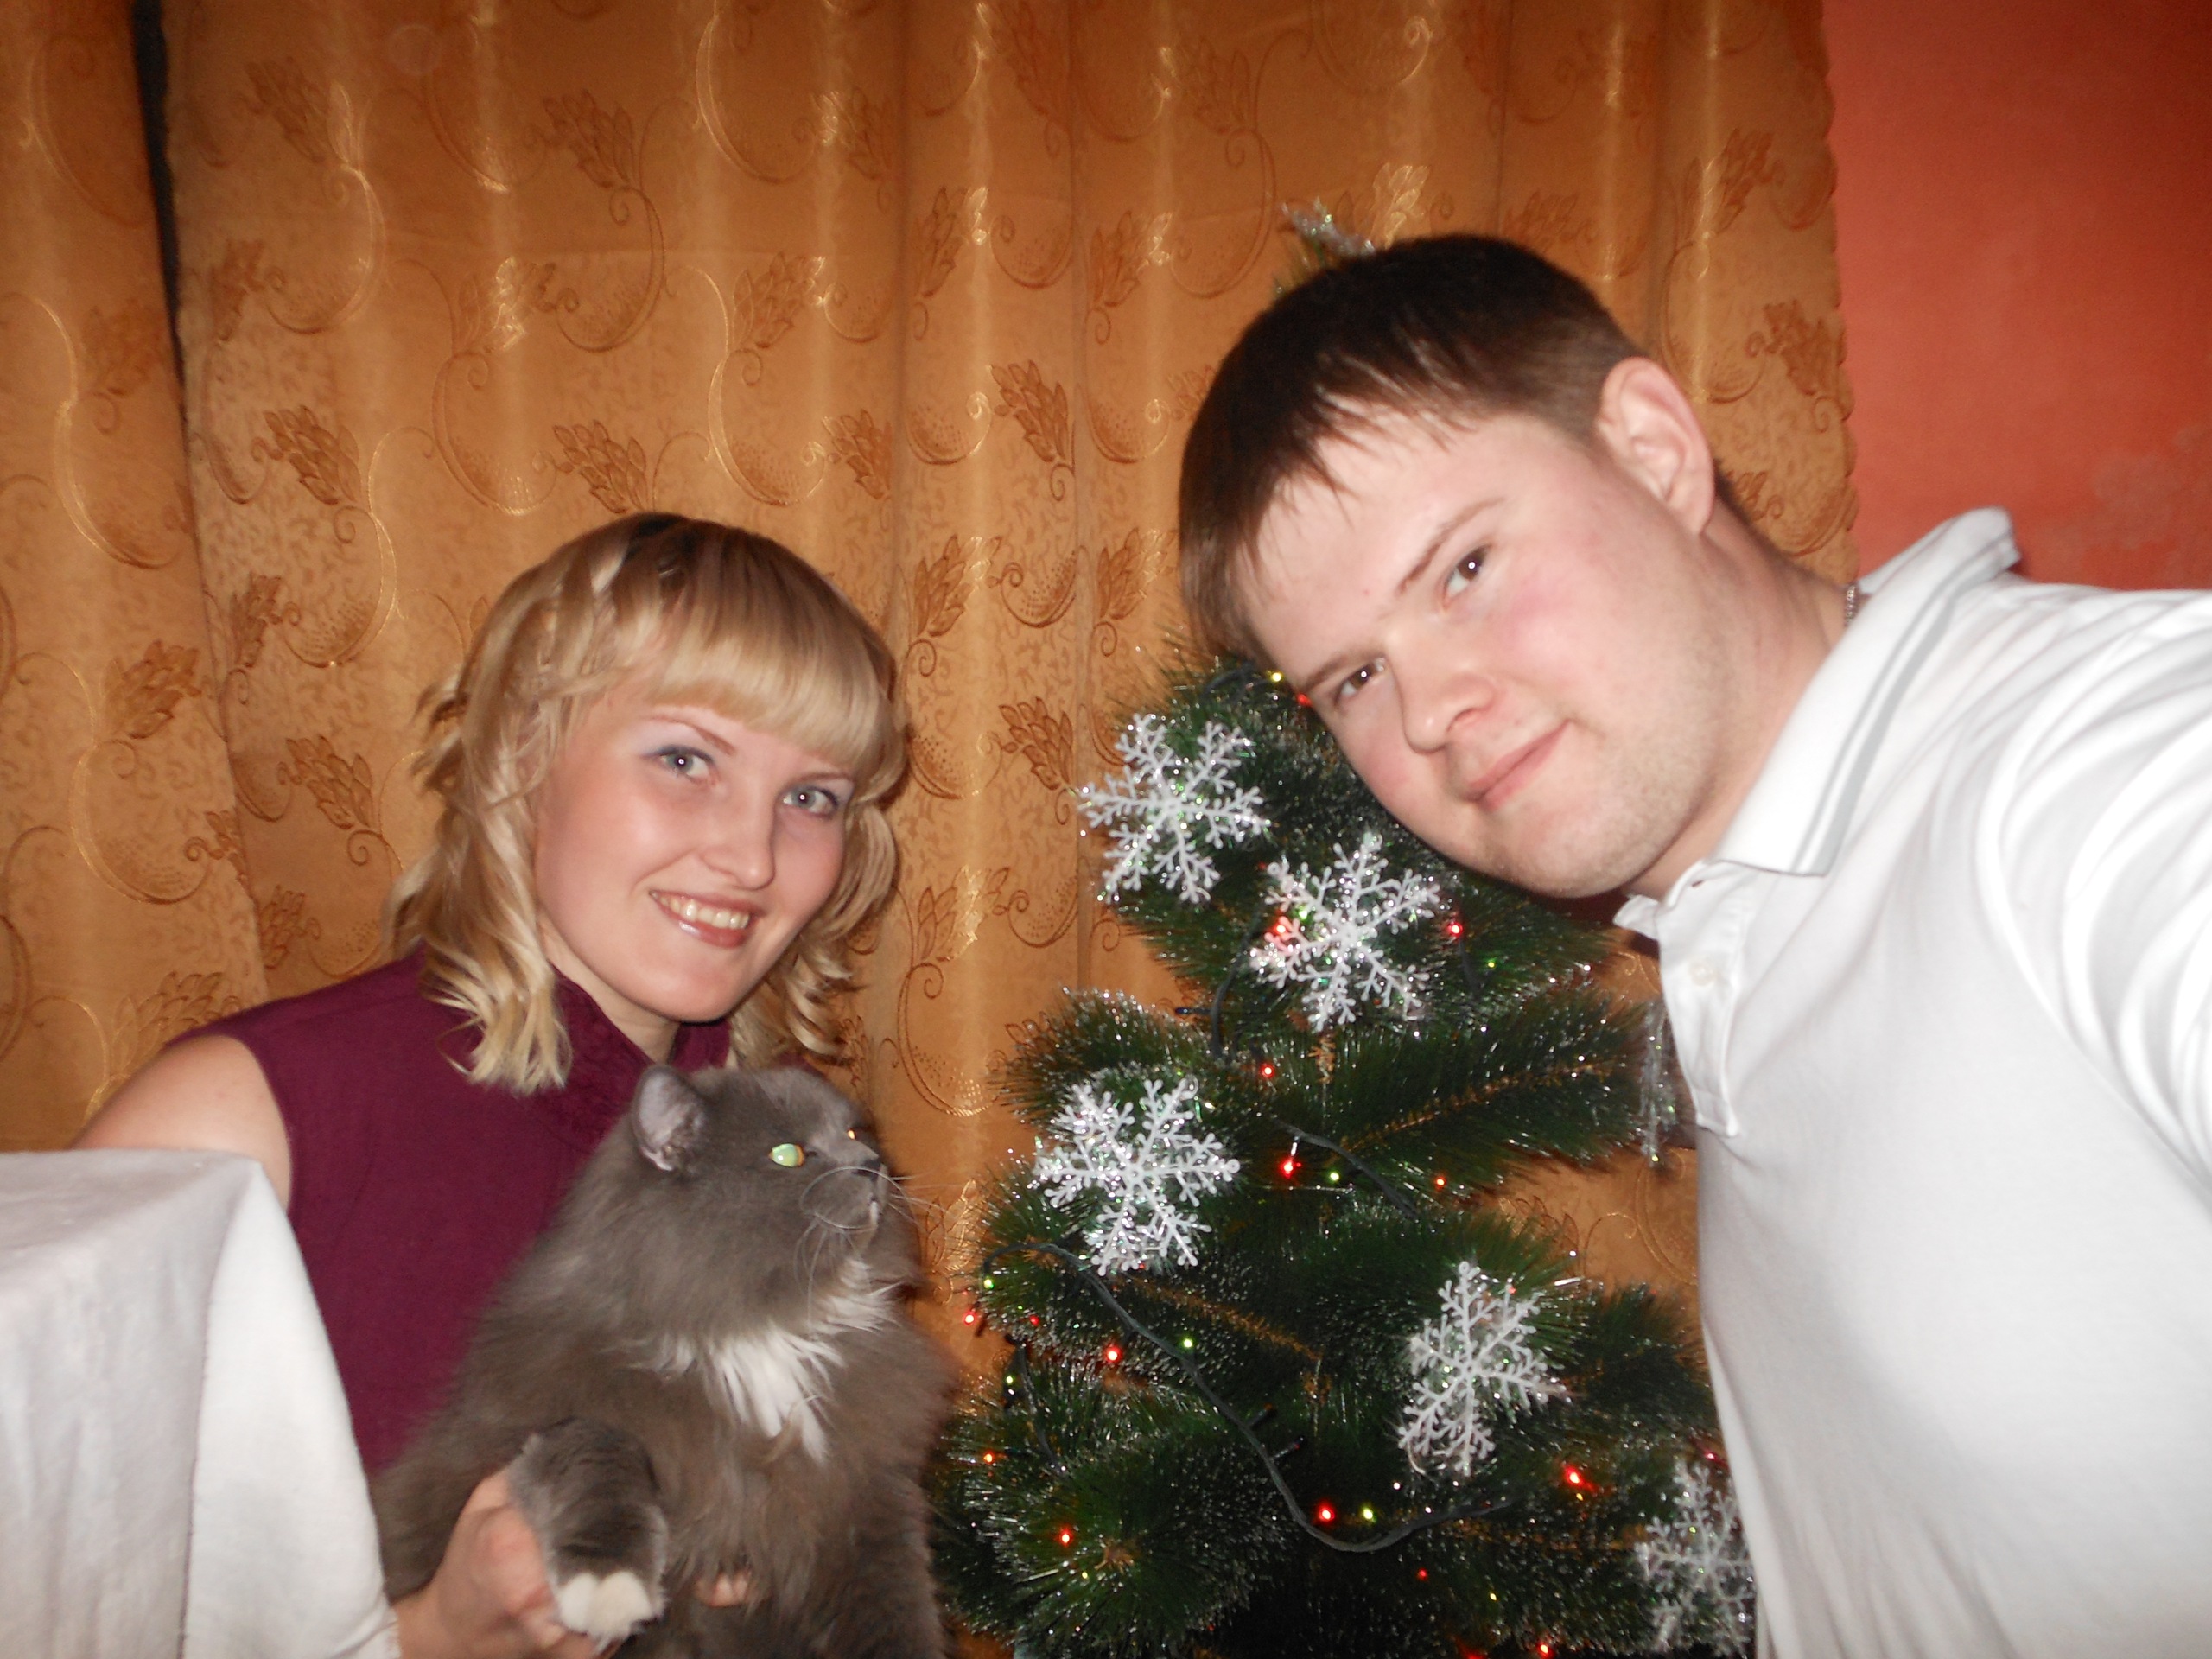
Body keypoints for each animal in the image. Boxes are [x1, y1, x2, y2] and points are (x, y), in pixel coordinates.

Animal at [373, 1064, 953, 1658]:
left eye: (855, 1133)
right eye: (789, 1154)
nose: (873, 1164)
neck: (764, 1326)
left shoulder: (863, 1489)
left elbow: (895, 1603)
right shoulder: (525, 1423)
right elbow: (596, 1451)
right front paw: (609, 1588)